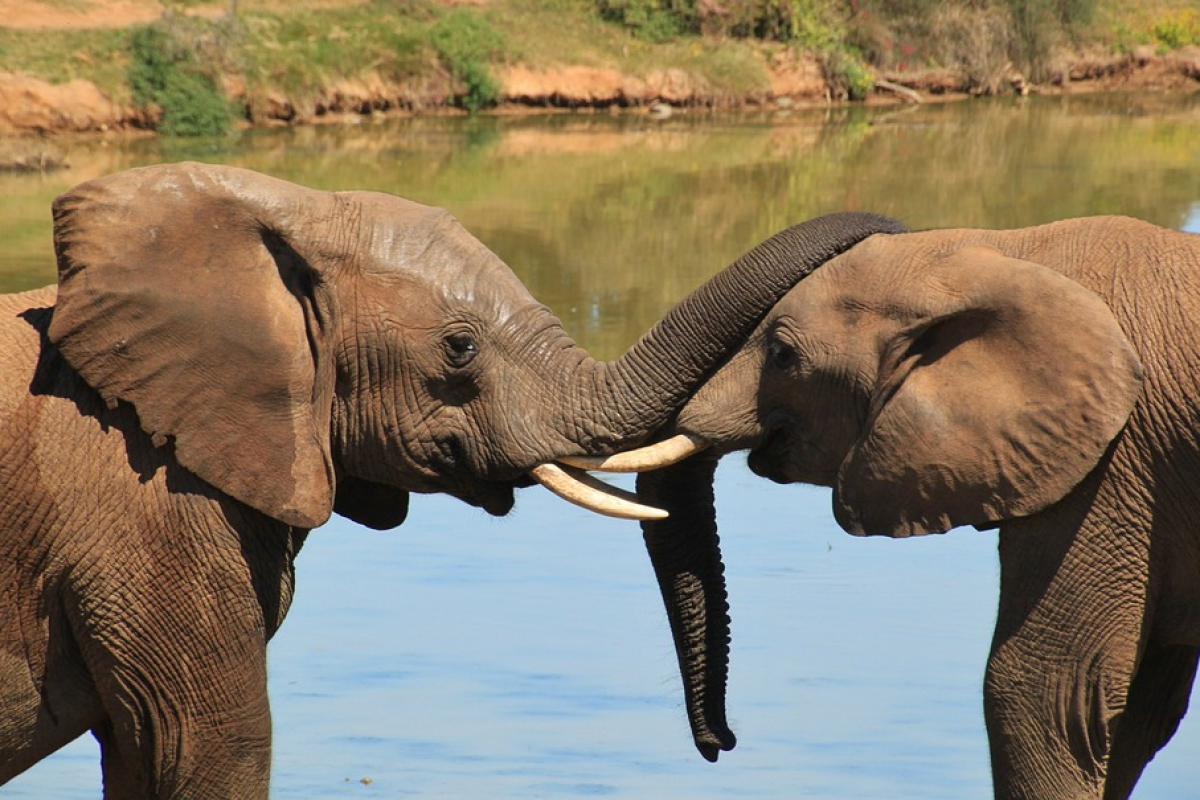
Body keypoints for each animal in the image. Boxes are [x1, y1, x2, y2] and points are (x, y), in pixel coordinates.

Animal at [568, 215, 1200, 796]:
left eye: (781, 355)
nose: (721, 742)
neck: (1006, 252)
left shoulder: (1114, 465)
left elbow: (1044, 690)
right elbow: (1137, 710)